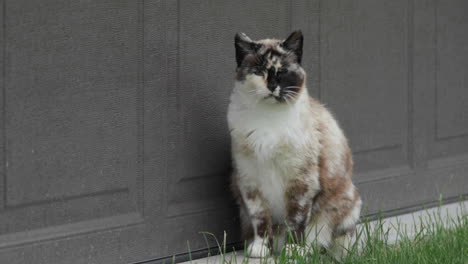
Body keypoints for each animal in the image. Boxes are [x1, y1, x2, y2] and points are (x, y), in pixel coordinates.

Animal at [227, 29, 362, 258]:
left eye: (282, 72)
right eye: (259, 71)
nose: (272, 87)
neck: (267, 118)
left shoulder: (300, 182)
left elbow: (295, 220)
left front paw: (293, 251)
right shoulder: (250, 182)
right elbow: (260, 220)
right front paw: (261, 249)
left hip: (345, 205)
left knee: (329, 244)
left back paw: (308, 250)